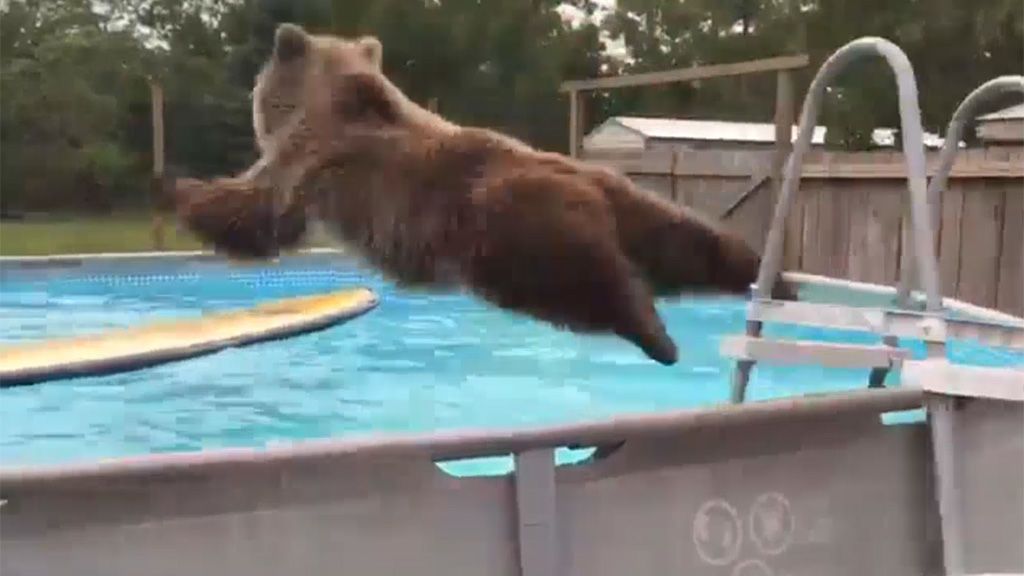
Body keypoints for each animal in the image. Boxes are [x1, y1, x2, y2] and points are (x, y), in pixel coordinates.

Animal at [176, 24, 794, 364]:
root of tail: (586, 182)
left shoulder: (316, 161)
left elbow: (261, 208)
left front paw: (186, 194)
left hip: (509, 237)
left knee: (591, 286)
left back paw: (658, 338)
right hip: (631, 206)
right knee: (690, 242)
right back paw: (767, 278)